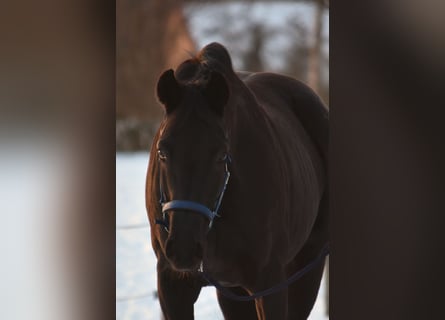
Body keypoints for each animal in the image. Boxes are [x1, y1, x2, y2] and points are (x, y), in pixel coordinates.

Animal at [145, 43, 326, 320]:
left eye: (221, 154)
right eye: (162, 151)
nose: (185, 248)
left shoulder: (270, 282)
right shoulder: (173, 283)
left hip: (306, 268)